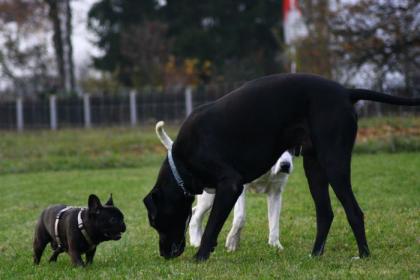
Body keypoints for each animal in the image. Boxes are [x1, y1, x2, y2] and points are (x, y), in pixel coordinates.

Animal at [144, 74, 416, 260]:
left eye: (155, 222)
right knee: (325, 212)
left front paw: (200, 257)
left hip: (334, 164)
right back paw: (315, 254)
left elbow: (213, 227)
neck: (181, 162)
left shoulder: (230, 185)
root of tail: (345, 91)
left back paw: (363, 255)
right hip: (314, 167)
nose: (164, 254)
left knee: (354, 212)